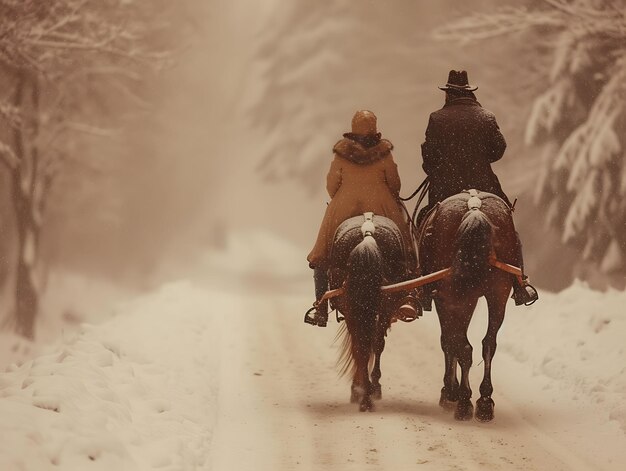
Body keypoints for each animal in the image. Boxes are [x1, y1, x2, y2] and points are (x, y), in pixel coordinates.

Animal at [420, 190, 516, 422]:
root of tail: (475, 210)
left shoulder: (445, 300)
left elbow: (448, 342)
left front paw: (449, 392)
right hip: (497, 295)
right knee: (488, 344)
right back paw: (484, 401)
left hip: (460, 297)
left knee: (463, 346)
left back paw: (463, 401)